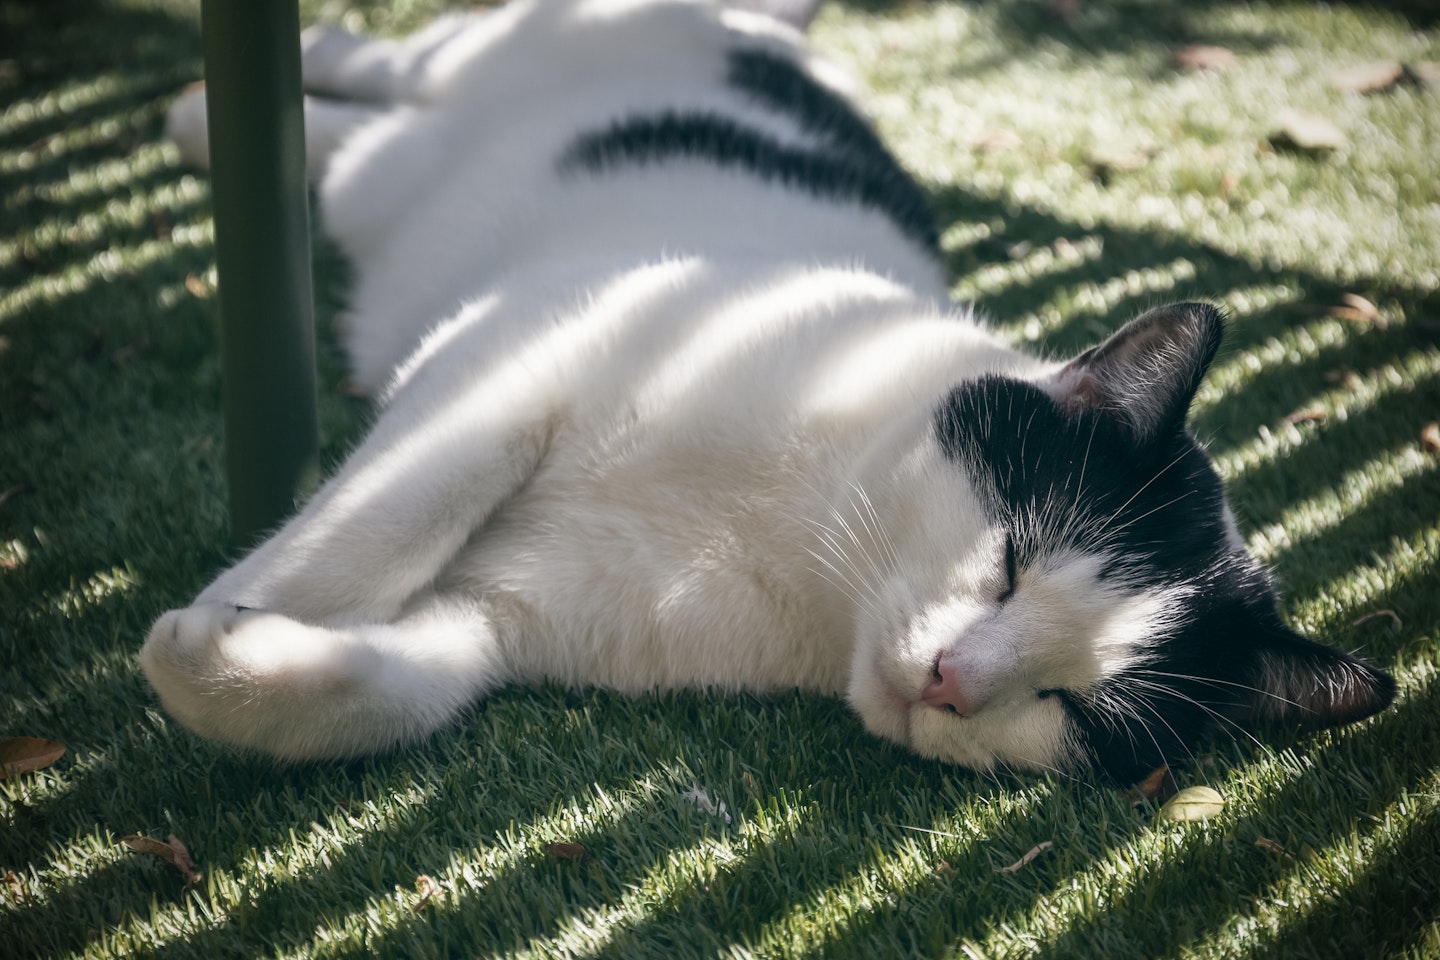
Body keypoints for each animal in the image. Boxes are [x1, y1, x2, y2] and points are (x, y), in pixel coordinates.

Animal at [149, 0, 1393, 782]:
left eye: (1074, 706)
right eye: (1010, 560)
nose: (952, 683)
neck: (799, 536)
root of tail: (776, 33)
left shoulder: (506, 617)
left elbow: (394, 689)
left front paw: (221, 655)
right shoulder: (510, 363)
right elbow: (377, 523)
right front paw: (249, 600)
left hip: (400, 171)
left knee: (368, 154)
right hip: (485, 56)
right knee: (387, 71)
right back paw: (233, 98)